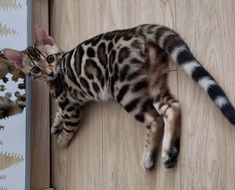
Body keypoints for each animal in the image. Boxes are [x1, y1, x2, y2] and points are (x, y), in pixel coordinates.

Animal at [2, 24, 235, 170]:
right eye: (35, 70)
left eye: (50, 58)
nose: (49, 73)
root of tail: (134, 30)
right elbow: (59, 114)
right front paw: (55, 123)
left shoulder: (72, 110)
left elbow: (69, 127)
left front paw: (61, 140)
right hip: (154, 83)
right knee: (172, 107)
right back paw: (168, 152)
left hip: (125, 90)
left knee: (154, 119)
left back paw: (148, 158)